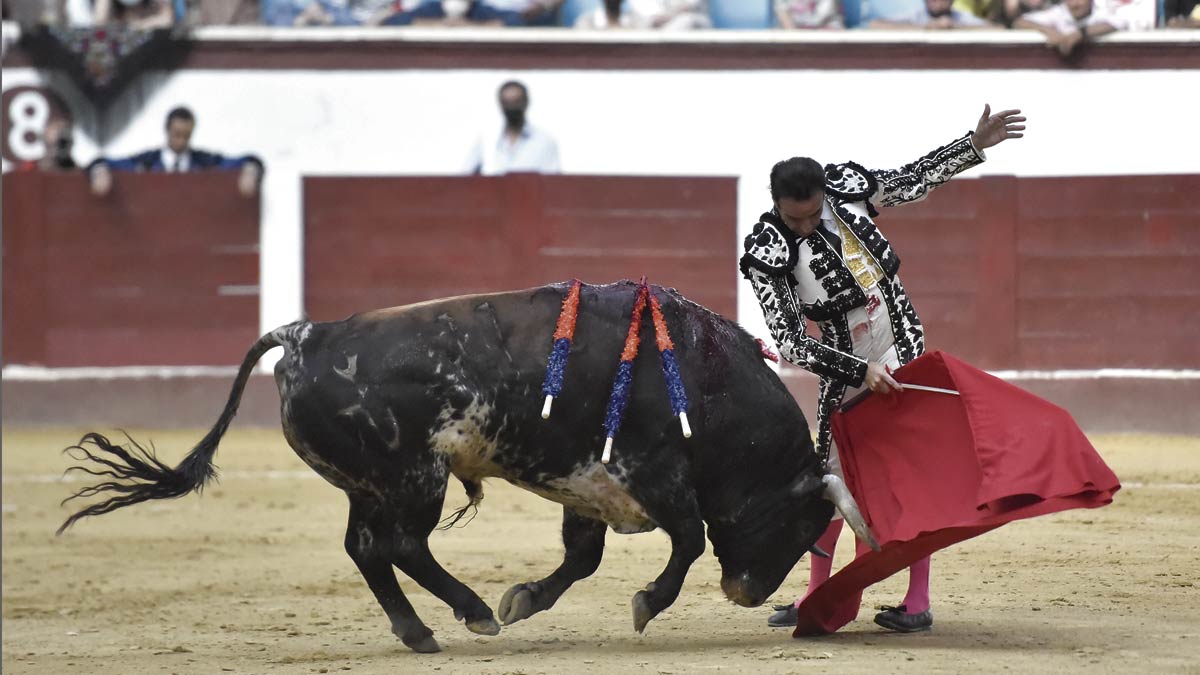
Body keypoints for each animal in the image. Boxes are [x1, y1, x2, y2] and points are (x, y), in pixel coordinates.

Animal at [58, 279, 873, 653]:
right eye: (799, 522)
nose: (747, 593)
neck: (705, 384)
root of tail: (307, 334)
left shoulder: (589, 484)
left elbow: (582, 557)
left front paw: (525, 599)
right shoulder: (655, 473)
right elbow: (688, 539)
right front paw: (643, 603)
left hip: (373, 483)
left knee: (366, 547)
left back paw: (421, 629)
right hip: (414, 478)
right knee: (399, 543)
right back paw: (469, 611)